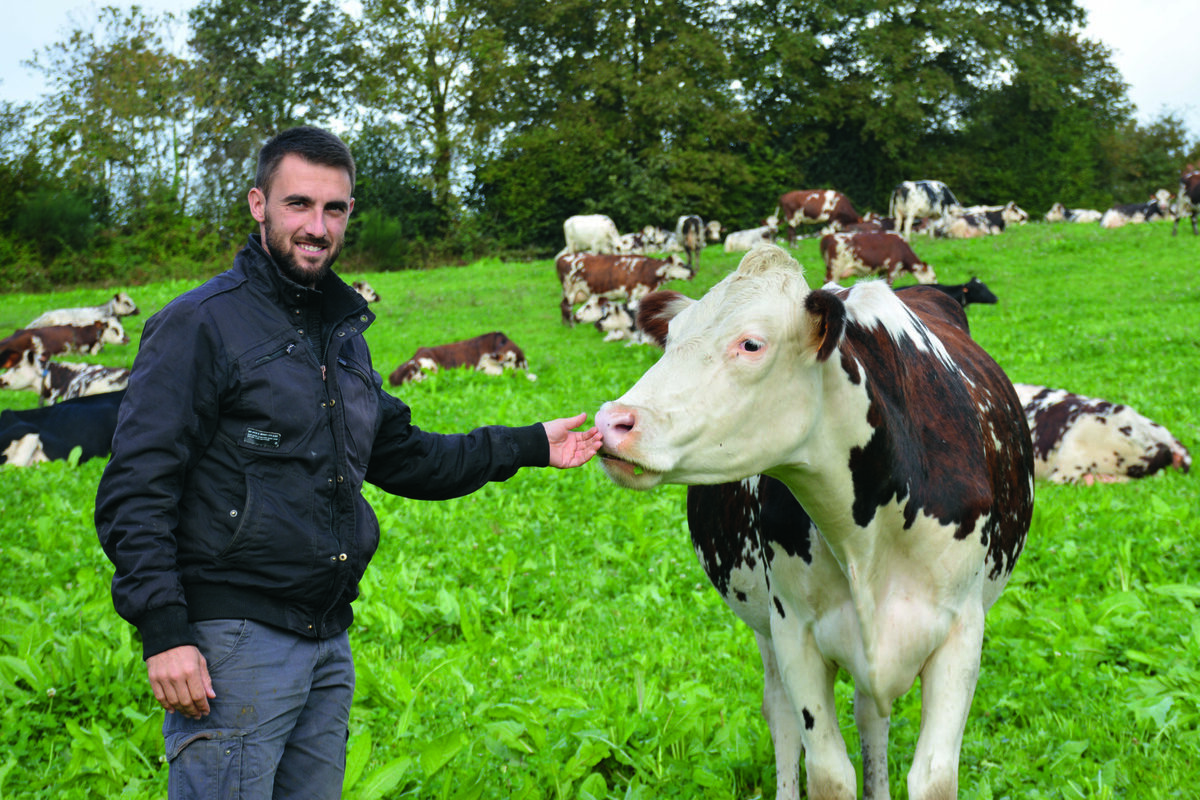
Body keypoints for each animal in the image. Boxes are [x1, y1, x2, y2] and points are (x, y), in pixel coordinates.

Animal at [554, 251, 696, 323]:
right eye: (680, 264)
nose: (693, 272)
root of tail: (563, 257)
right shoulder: (631, 293)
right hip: (570, 290)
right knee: (566, 307)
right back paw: (570, 326)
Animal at [590, 245, 1032, 800]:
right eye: (670, 340)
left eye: (751, 344)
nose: (611, 422)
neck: (866, 531)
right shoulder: (793, 628)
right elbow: (827, 772)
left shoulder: (963, 629)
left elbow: (932, 776)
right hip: (765, 625)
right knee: (781, 714)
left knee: (870, 716)